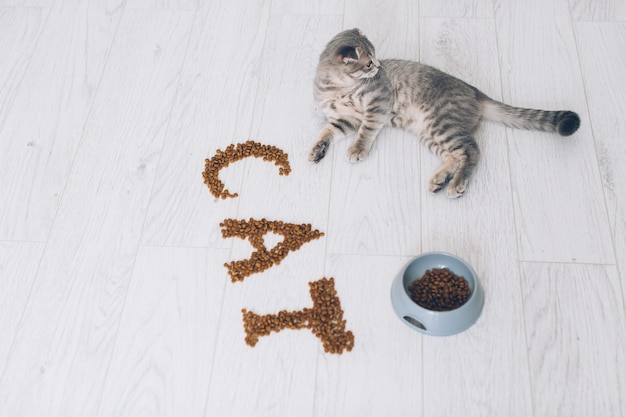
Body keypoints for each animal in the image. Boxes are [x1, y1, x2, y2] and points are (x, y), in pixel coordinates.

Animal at [310, 28, 576, 197]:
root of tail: (476, 93)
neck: (336, 88)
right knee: (455, 155)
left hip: (441, 124)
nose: (378, 66)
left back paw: (456, 184)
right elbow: (327, 131)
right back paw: (440, 179)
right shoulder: (346, 118)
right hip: (431, 133)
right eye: (367, 63)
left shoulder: (378, 103)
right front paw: (317, 149)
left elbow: (366, 131)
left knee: (472, 151)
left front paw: (357, 149)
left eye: (375, 58)